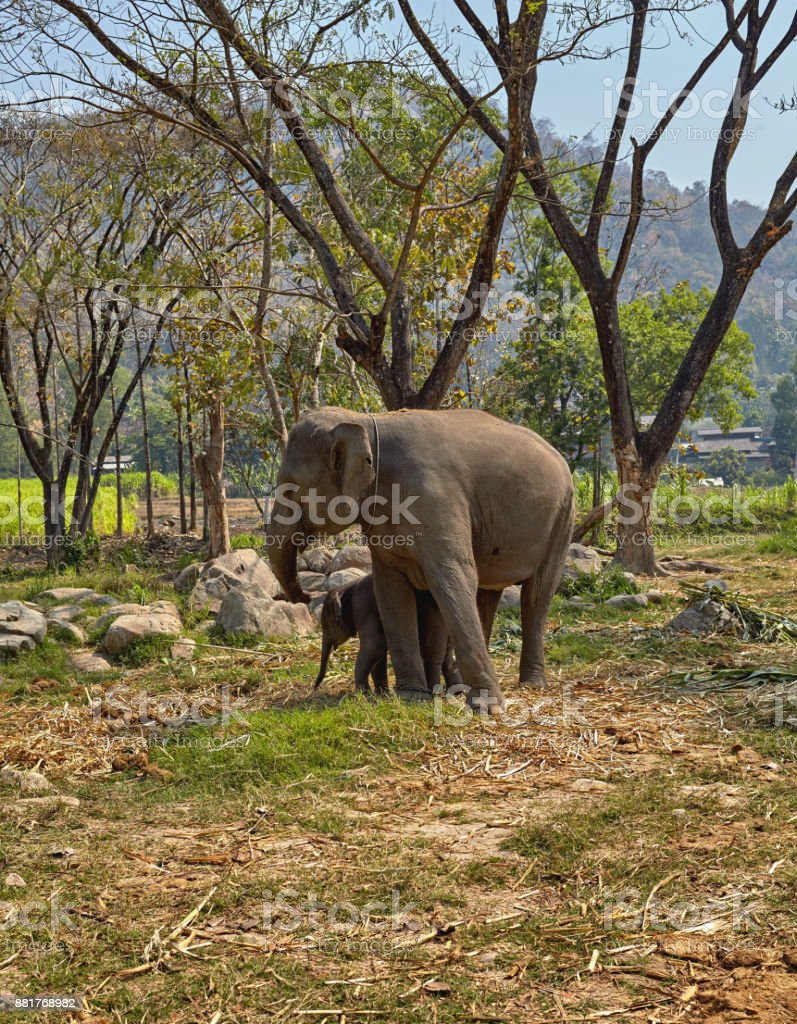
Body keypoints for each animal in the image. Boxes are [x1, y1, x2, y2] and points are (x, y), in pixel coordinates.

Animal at [311, 577, 458, 696]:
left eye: (326, 625)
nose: (314, 688)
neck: (347, 587)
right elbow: (378, 653)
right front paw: (382, 695)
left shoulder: (364, 606)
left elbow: (375, 644)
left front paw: (364, 696)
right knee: (447, 657)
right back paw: (455, 692)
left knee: (432, 652)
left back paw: (434, 692)